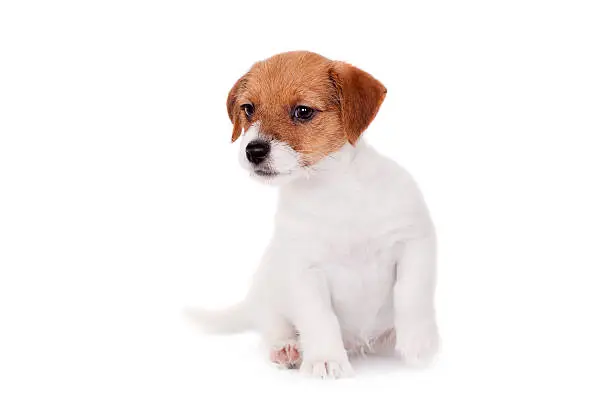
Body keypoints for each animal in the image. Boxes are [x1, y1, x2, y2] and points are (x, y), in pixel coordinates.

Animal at [189, 51, 438, 380]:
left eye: (303, 111)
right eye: (248, 108)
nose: (253, 150)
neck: (332, 189)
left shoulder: (414, 241)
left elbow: (411, 294)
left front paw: (419, 344)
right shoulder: (303, 271)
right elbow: (319, 318)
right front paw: (326, 359)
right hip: (269, 292)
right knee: (273, 326)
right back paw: (287, 349)